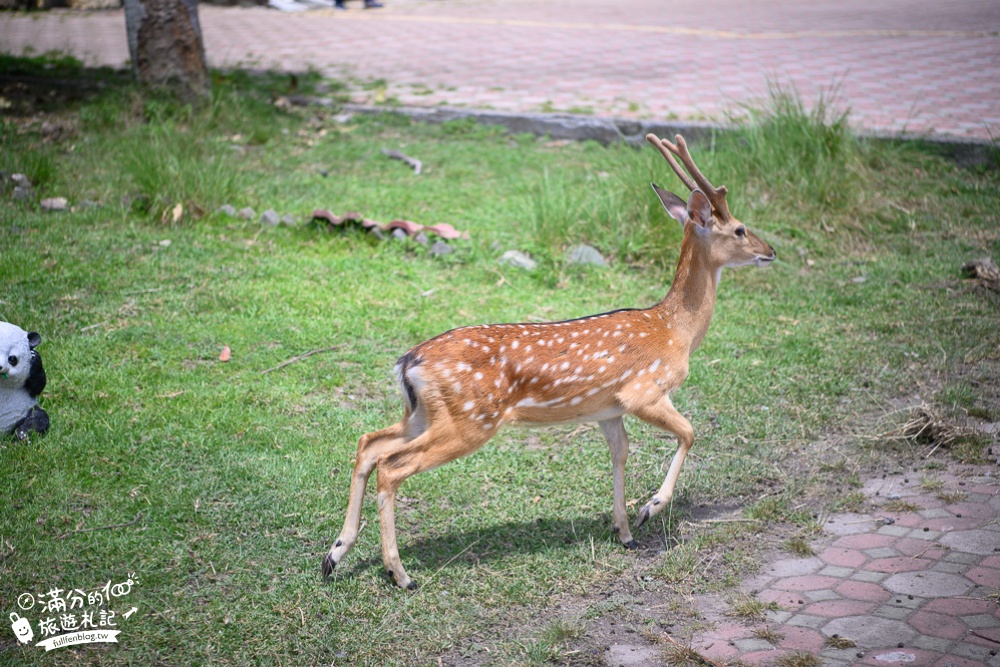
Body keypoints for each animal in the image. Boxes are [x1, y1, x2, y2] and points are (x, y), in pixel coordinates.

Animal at [324, 133, 776, 588]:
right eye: (739, 228)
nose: (770, 250)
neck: (673, 332)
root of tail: (408, 362)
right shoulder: (642, 391)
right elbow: (689, 432)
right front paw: (650, 508)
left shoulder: (607, 409)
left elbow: (620, 454)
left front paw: (624, 531)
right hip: (470, 420)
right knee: (392, 466)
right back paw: (399, 574)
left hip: (423, 413)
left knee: (368, 443)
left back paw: (335, 555)